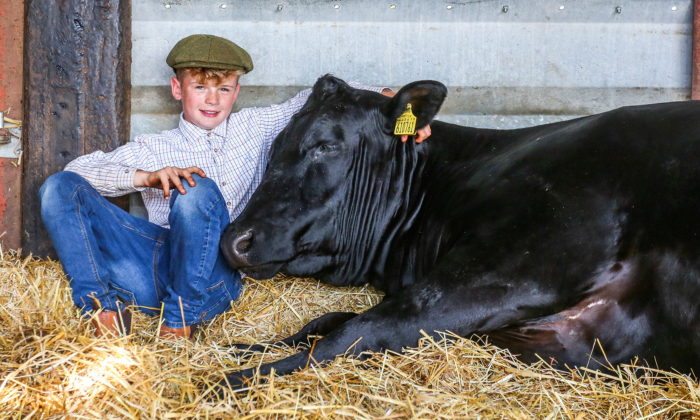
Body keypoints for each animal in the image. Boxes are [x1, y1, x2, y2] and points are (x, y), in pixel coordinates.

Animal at [219, 75, 700, 390]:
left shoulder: (512, 266)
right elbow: (330, 320)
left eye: (325, 145)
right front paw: (246, 348)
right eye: (276, 144)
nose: (233, 241)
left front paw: (237, 378)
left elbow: (357, 332)